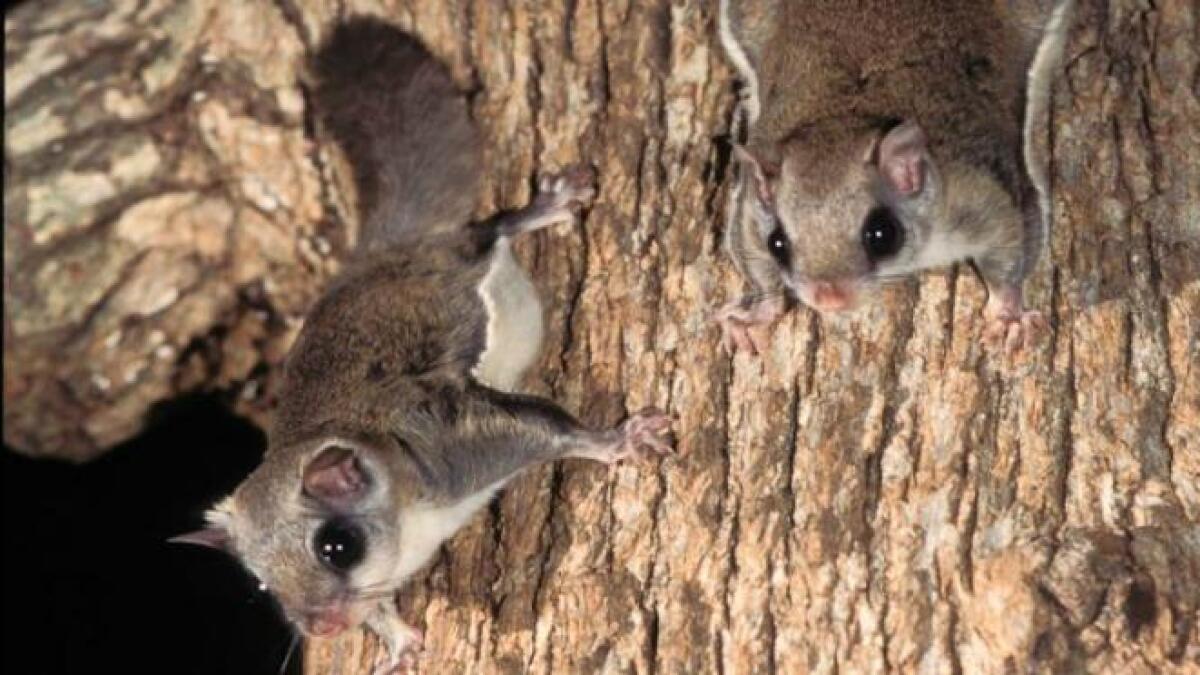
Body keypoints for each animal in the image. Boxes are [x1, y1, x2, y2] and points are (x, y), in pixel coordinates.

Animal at [172, 18, 674, 674]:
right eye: (262, 583)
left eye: (337, 546)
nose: (323, 628)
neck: (407, 518)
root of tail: (381, 254)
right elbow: (379, 606)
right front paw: (398, 641)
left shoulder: (454, 445)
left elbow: (556, 431)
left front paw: (617, 440)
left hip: (459, 258)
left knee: (490, 231)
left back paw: (547, 207)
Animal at [716, 0, 1075, 356]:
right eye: (777, 244)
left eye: (881, 234)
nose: (829, 298)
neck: (843, 121)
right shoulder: (749, 212)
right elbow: (756, 265)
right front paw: (755, 317)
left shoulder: (980, 195)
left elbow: (1011, 248)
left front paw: (1009, 317)